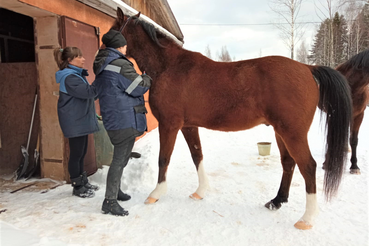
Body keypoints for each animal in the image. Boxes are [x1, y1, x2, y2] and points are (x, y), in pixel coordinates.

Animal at [111, 8, 350, 231]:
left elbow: (163, 159)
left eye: (114, 29)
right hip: (281, 132)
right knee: (288, 163)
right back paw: (276, 201)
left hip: (293, 134)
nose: (104, 52)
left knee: (308, 166)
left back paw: (306, 219)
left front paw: (156, 193)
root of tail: (308, 69)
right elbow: (197, 155)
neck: (169, 66)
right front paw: (200, 191)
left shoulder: (169, 124)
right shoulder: (189, 126)